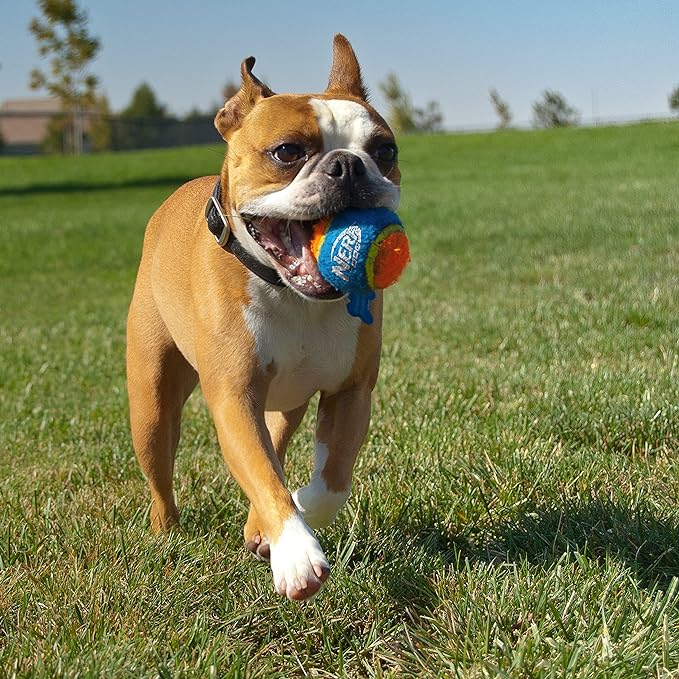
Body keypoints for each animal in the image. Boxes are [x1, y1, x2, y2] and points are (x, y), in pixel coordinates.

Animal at [127, 33, 402, 600]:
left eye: (385, 151)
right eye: (287, 152)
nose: (348, 165)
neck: (293, 294)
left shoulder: (351, 393)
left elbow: (330, 479)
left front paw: (293, 517)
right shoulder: (234, 398)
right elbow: (261, 471)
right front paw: (297, 555)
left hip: (286, 403)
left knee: (274, 443)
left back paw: (258, 528)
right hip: (151, 403)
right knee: (161, 469)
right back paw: (165, 534)